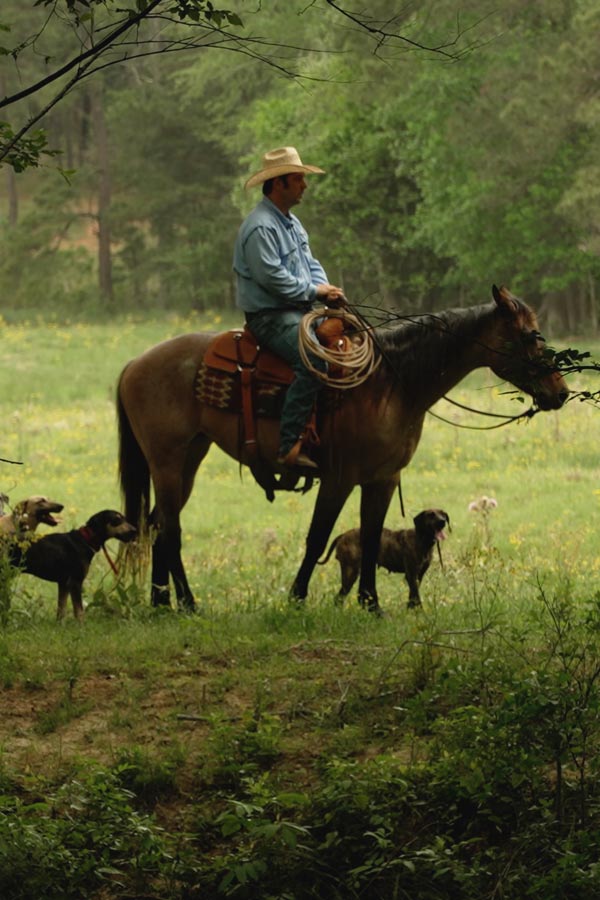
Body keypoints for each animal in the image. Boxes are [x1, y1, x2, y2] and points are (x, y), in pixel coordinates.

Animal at [10, 510, 138, 624]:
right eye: (117, 520)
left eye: (124, 518)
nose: (135, 531)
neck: (85, 539)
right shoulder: (75, 582)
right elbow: (79, 611)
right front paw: (81, 628)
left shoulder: (64, 584)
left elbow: (61, 610)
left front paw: (60, 627)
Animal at [318, 510, 450, 608]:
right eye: (431, 514)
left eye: (443, 514)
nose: (442, 521)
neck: (422, 539)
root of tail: (343, 535)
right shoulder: (411, 574)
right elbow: (416, 596)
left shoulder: (418, 575)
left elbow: (413, 596)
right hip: (350, 572)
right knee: (339, 597)